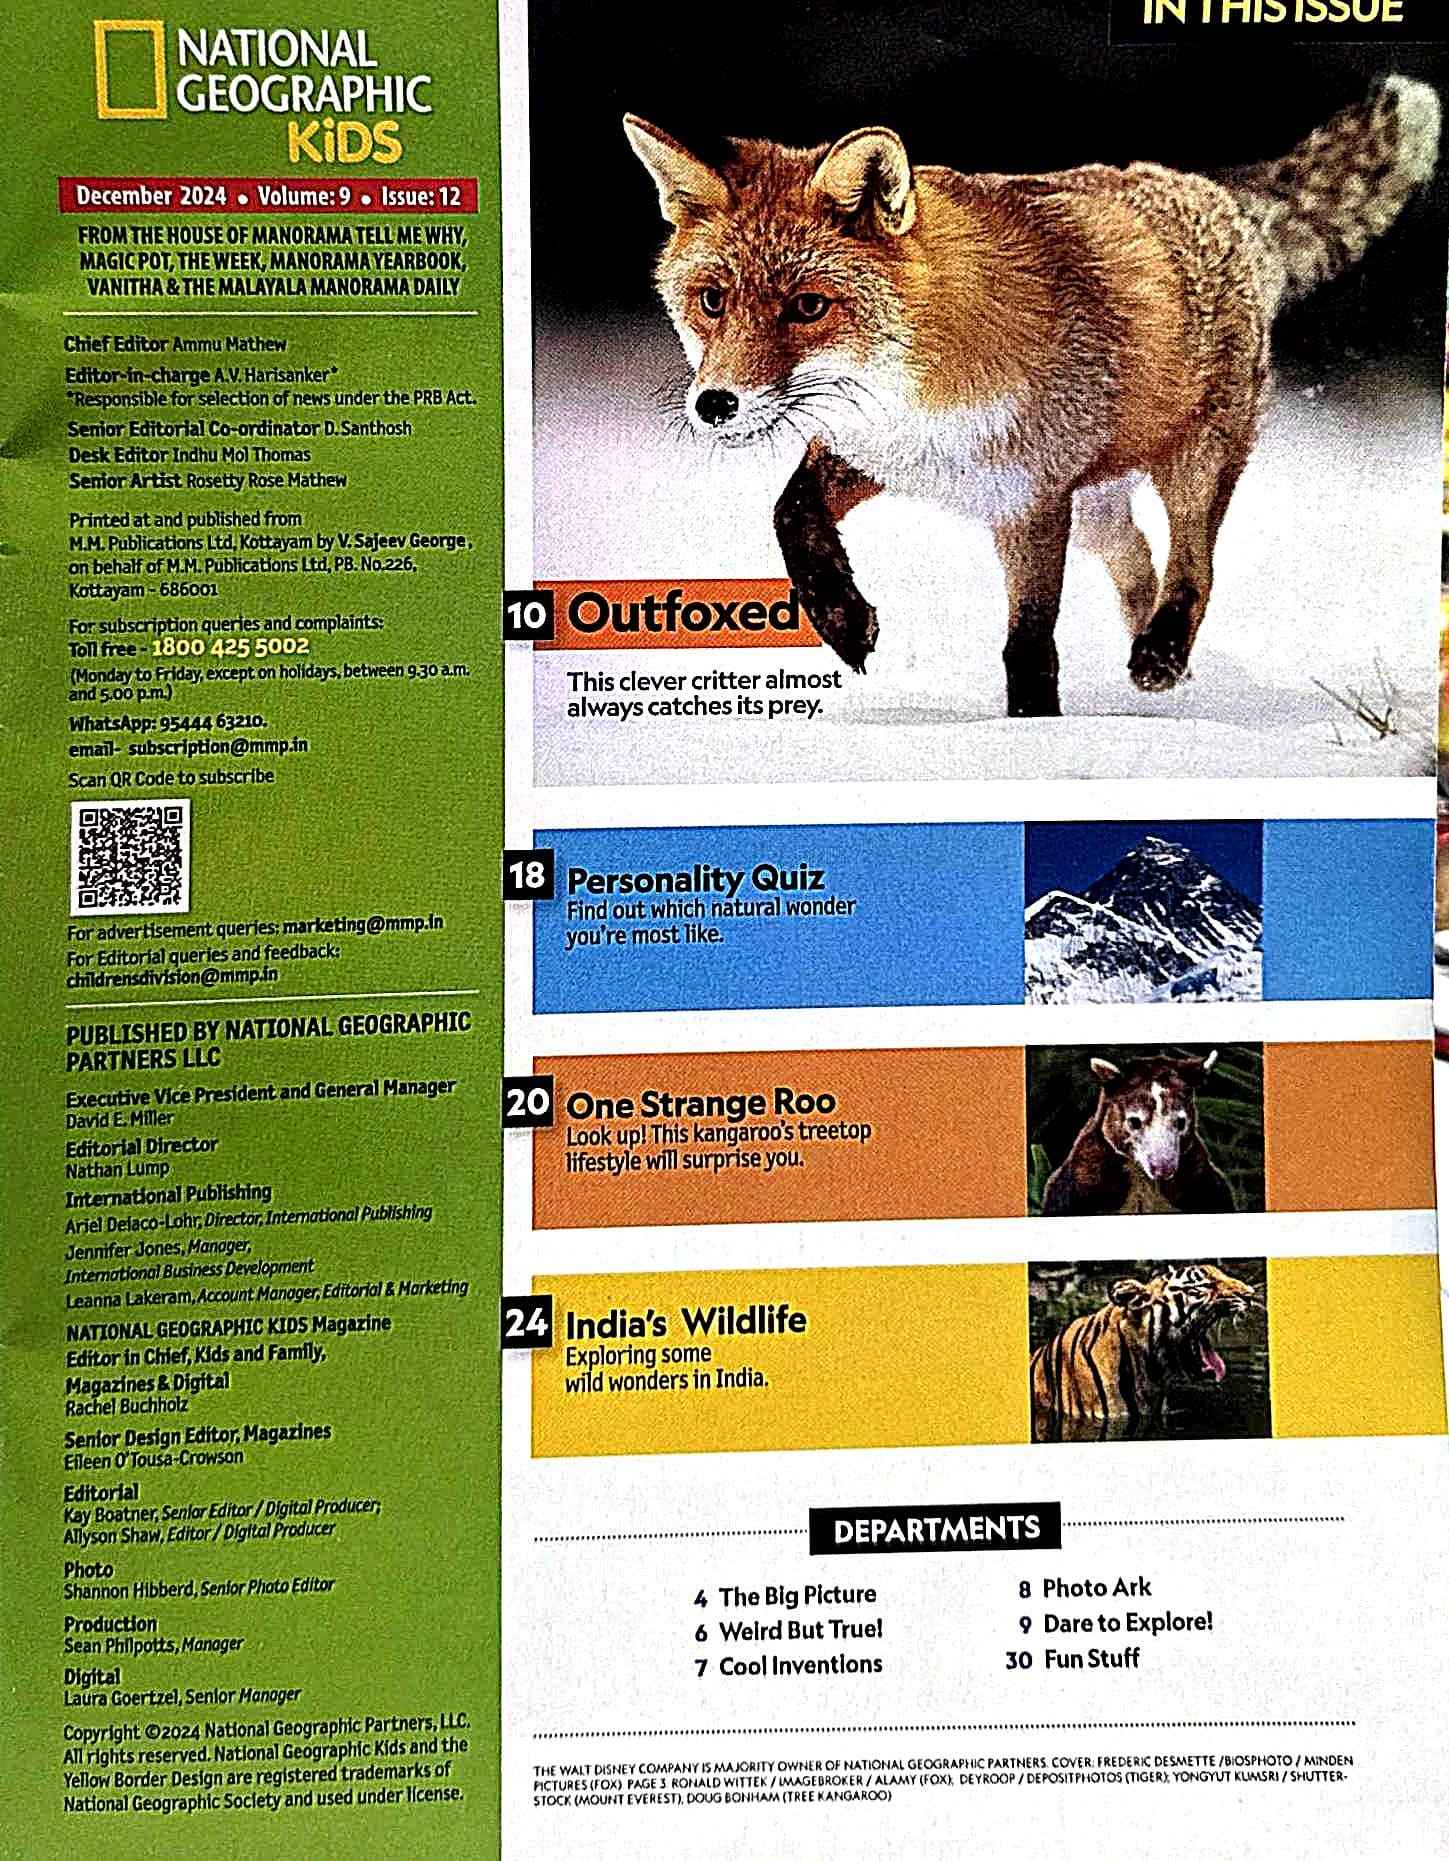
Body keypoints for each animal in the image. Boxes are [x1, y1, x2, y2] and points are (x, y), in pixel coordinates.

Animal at [624, 79, 1441, 716]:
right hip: (1098, 508)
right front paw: (841, 618)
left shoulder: (1031, 500)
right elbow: (790, 514)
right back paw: (1167, 669)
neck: (917, 387)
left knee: (1194, 568)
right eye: (712, 300)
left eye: (807, 307)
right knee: (1137, 558)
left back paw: (1163, 656)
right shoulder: (884, 455)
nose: (715, 404)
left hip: (1191, 466)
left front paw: (1033, 733)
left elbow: (1028, 645)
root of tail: (1212, 192)